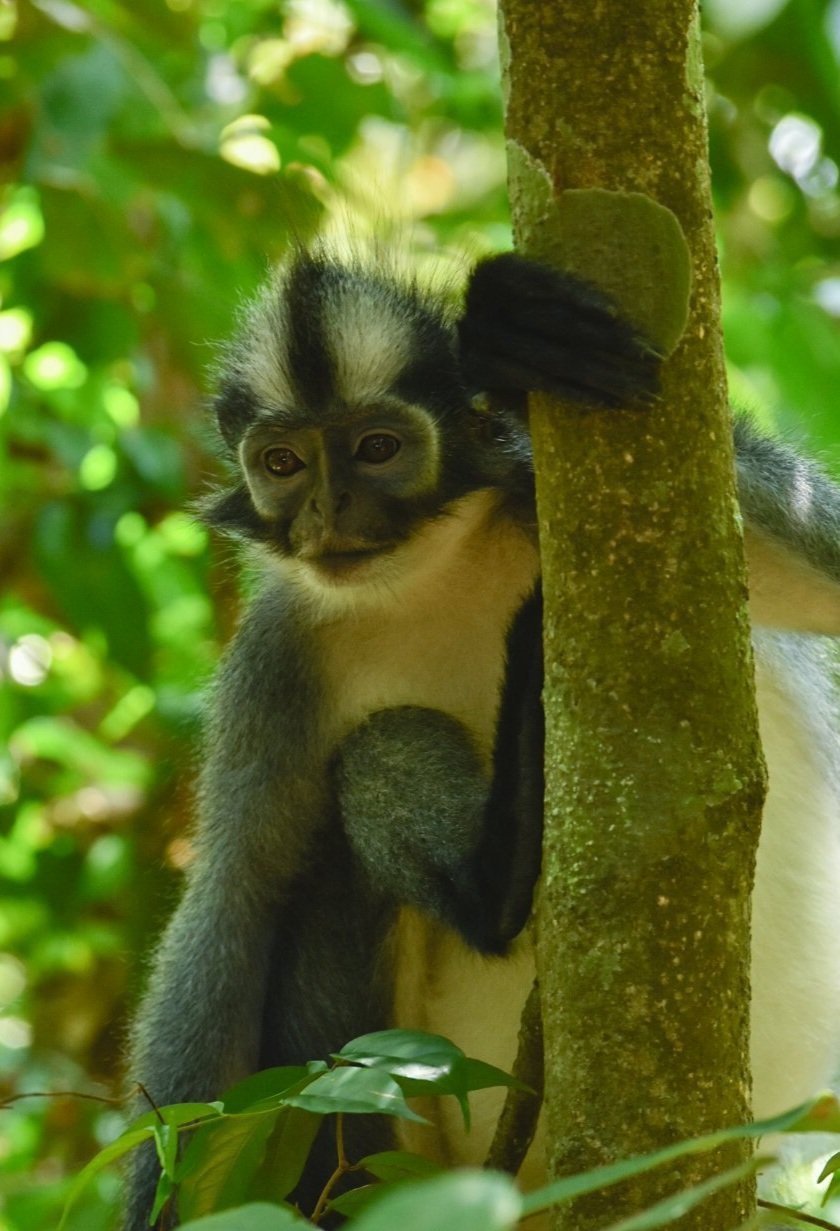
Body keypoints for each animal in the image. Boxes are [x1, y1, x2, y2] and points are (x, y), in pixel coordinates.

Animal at [124, 243, 840, 1228]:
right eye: (283, 462)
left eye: (376, 448)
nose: (328, 514)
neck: (434, 572)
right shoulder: (277, 664)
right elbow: (237, 895)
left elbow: (826, 572)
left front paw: (512, 338)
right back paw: (499, 880)